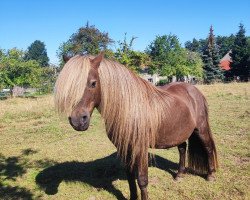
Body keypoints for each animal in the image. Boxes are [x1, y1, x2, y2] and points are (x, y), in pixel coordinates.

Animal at [54, 53, 217, 200]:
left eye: (93, 83)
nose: (78, 120)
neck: (129, 110)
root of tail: (193, 89)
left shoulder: (140, 149)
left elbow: (142, 180)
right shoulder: (125, 148)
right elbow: (130, 178)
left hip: (201, 129)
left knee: (208, 148)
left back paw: (210, 175)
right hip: (178, 133)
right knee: (182, 149)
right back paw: (179, 175)